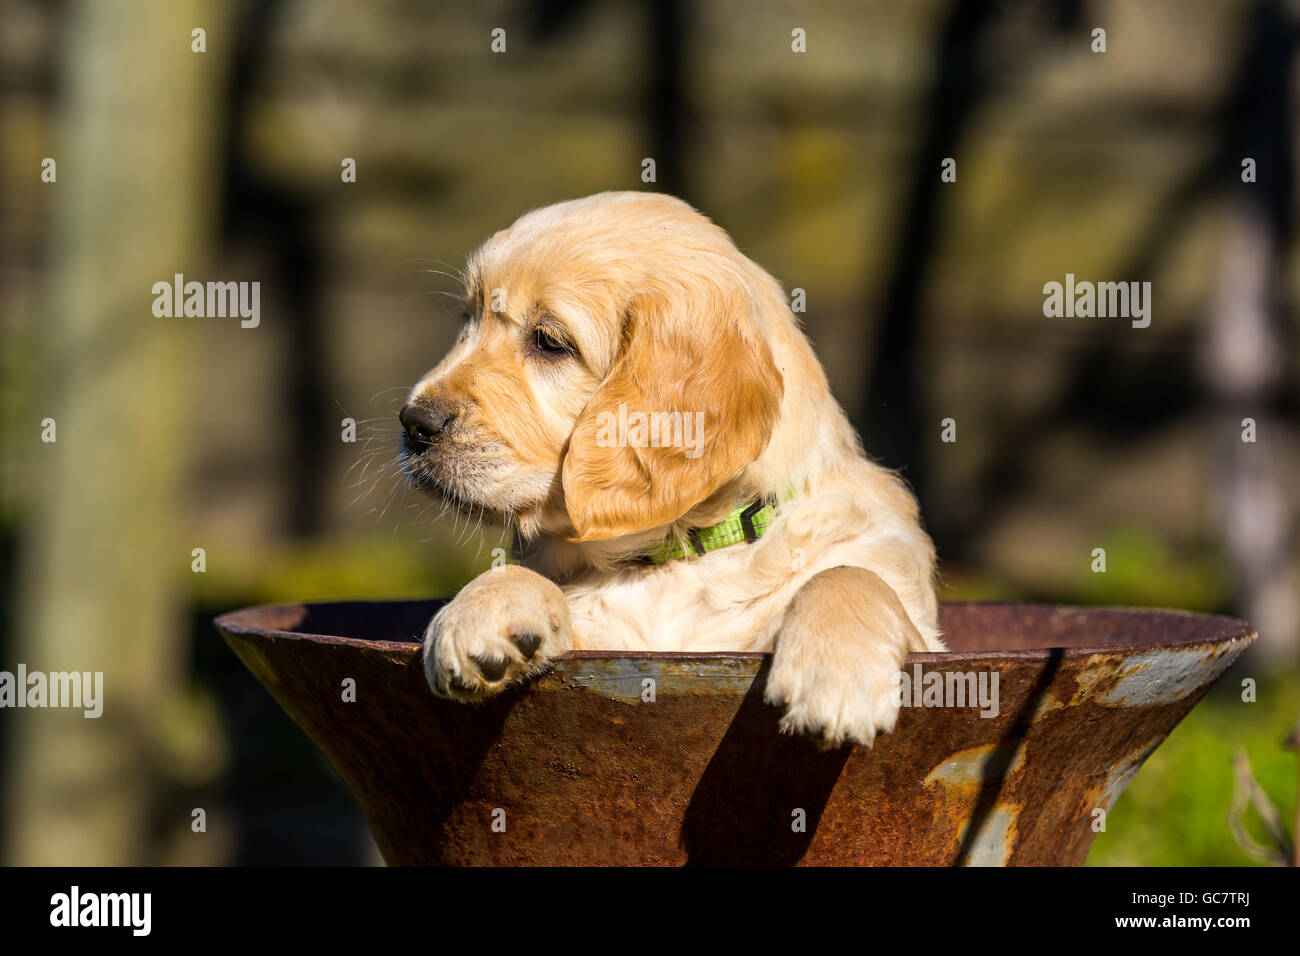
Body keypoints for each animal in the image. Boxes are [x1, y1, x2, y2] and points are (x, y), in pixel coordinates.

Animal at [400, 192, 941, 749]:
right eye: (468, 320)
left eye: (549, 341)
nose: (414, 424)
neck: (680, 551)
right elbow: (526, 580)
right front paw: (484, 607)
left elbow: (849, 573)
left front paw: (835, 672)